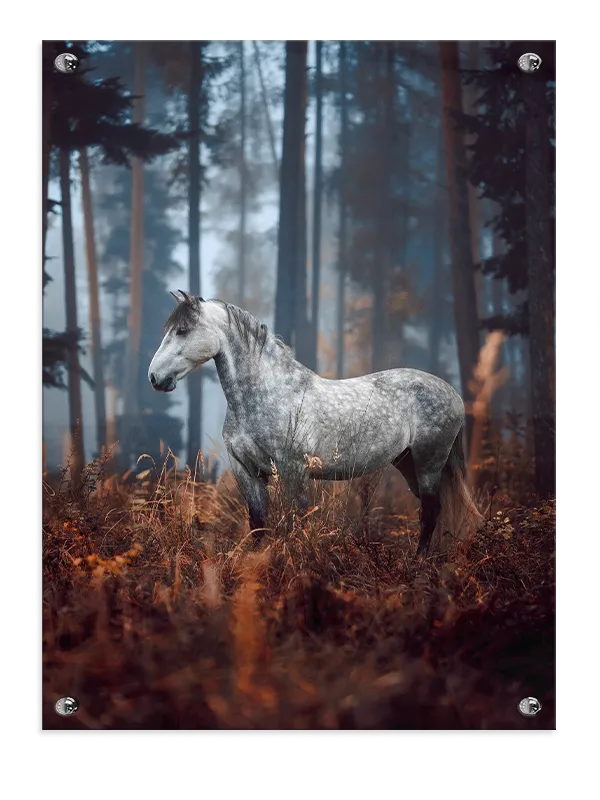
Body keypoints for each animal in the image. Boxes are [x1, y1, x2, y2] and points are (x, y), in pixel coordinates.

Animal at [148, 292, 483, 557]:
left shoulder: (292, 469)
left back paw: (419, 562)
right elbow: (258, 524)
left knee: (430, 512)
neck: (267, 391)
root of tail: (452, 393)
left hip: (429, 463)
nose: (154, 377)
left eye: (182, 330)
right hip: (408, 463)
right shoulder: (246, 470)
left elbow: (297, 519)